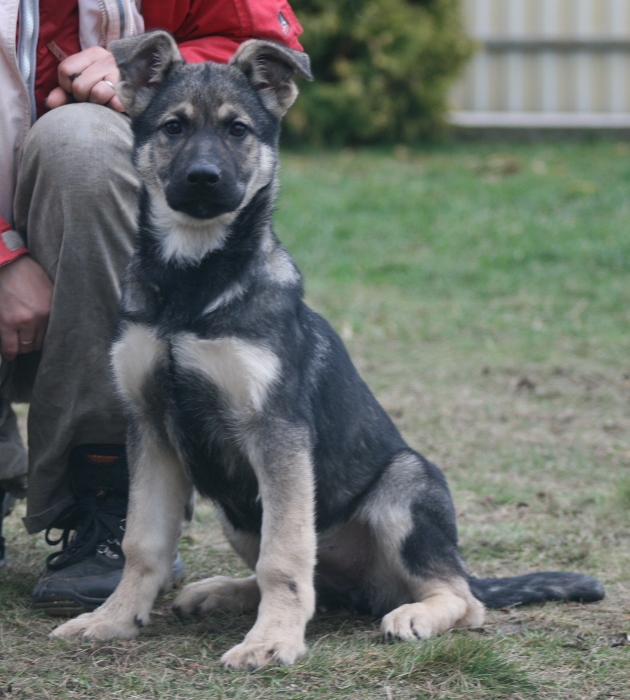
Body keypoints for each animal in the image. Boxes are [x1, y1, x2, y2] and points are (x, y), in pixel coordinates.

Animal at [51, 31, 604, 668]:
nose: (204, 178)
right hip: (239, 511)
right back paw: (223, 593)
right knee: (324, 585)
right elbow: (144, 541)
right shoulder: (151, 427)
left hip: (402, 488)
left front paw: (272, 641)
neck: (193, 280)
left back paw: (413, 614)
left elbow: (286, 553)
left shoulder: (276, 431)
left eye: (238, 130)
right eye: (172, 127)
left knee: (461, 598)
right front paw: (113, 619)